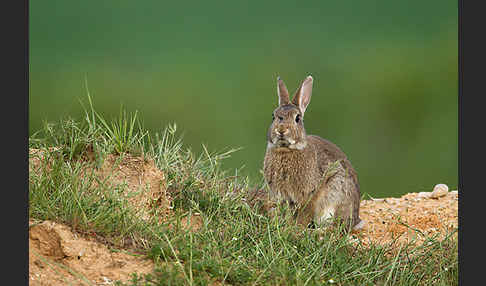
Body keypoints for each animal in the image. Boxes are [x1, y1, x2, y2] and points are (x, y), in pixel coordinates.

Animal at [264, 75, 362, 230]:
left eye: (297, 118)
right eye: (273, 116)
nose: (281, 130)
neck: (287, 149)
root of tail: (356, 219)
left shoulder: (308, 195)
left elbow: (304, 214)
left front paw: (297, 228)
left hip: (336, 194)